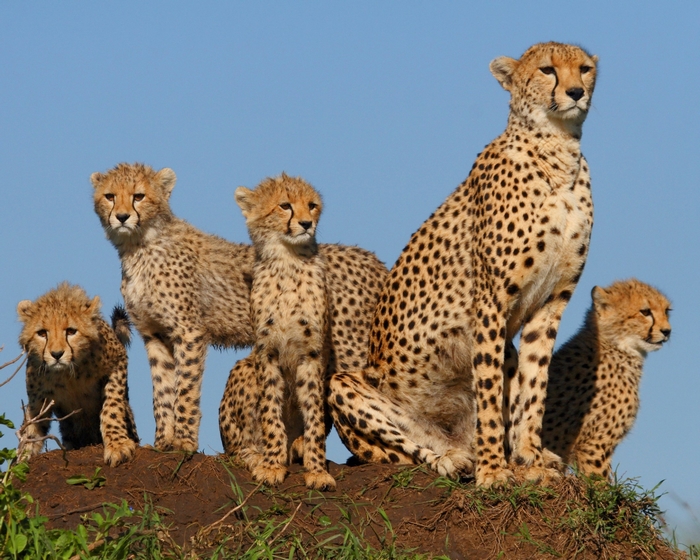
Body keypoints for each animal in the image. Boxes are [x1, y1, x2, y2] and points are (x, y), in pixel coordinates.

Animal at [17, 282, 139, 466]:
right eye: (42, 333)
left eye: (71, 331)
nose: (57, 354)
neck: (68, 373)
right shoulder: (37, 400)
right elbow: (30, 430)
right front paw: (19, 461)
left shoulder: (117, 361)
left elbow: (111, 406)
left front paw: (117, 445)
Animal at [91, 163, 387, 453]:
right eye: (110, 196)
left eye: (138, 196)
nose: (122, 217)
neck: (139, 246)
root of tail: (374, 260)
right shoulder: (154, 334)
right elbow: (162, 390)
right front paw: (164, 440)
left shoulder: (189, 332)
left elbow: (185, 387)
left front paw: (184, 441)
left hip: (347, 345)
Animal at [219, 173, 335, 490]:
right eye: (285, 205)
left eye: (312, 205)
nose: (307, 223)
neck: (288, 260)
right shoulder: (266, 351)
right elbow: (270, 411)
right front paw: (272, 464)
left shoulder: (312, 354)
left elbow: (314, 414)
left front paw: (317, 469)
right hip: (244, 368)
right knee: (235, 446)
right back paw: (257, 454)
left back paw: (297, 446)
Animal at [328, 42, 598, 487]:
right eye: (547, 70)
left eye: (585, 69)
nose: (576, 92)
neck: (559, 152)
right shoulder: (489, 302)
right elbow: (489, 394)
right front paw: (493, 472)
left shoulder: (550, 304)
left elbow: (534, 385)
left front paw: (529, 456)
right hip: (348, 387)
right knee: (405, 451)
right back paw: (454, 461)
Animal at [541, 279, 671, 479]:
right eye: (645, 312)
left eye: (667, 311)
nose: (667, 331)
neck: (616, 346)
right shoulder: (594, 443)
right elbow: (600, 481)